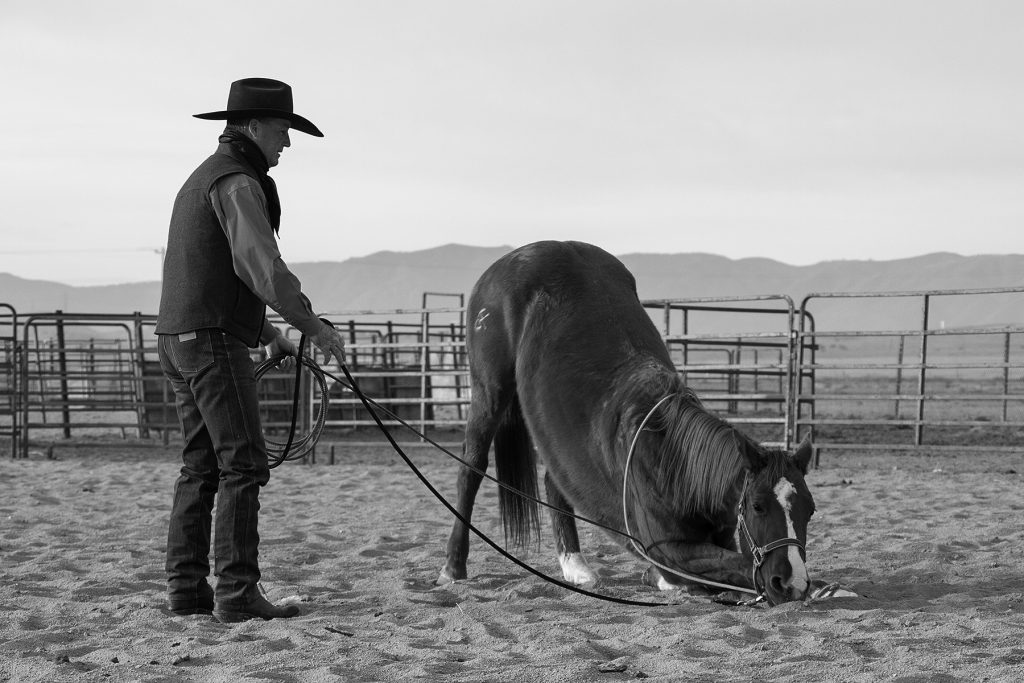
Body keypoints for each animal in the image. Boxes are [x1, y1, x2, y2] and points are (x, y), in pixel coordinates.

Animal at [438, 242, 815, 606]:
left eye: (809, 510)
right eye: (758, 506)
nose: (791, 584)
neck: (672, 459)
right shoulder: (670, 549)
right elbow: (732, 567)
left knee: (555, 480)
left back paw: (575, 567)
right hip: (489, 390)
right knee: (471, 469)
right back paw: (453, 567)